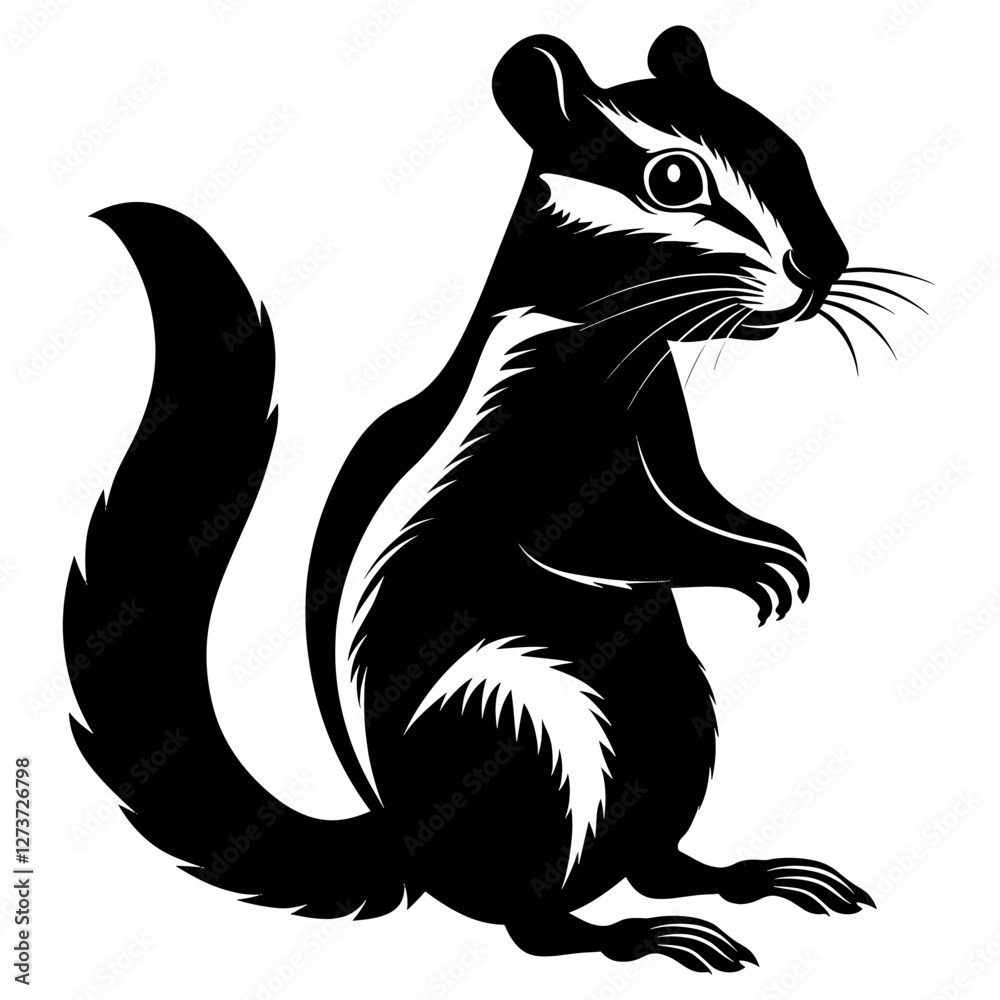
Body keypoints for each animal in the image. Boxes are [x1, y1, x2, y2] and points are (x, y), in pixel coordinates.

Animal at [65, 26, 925, 972]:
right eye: (672, 179)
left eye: (789, 147)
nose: (823, 266)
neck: (615, 339)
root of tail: (407, 847)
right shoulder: (541, 449)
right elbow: (602, 535)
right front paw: (752, 567)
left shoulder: (663, 422)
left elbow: (696, 494)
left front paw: (769, 541)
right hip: (521, 732)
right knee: (534, 923)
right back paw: (635, 937)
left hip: (676, 719)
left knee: (656, 861)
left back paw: (751, 880)